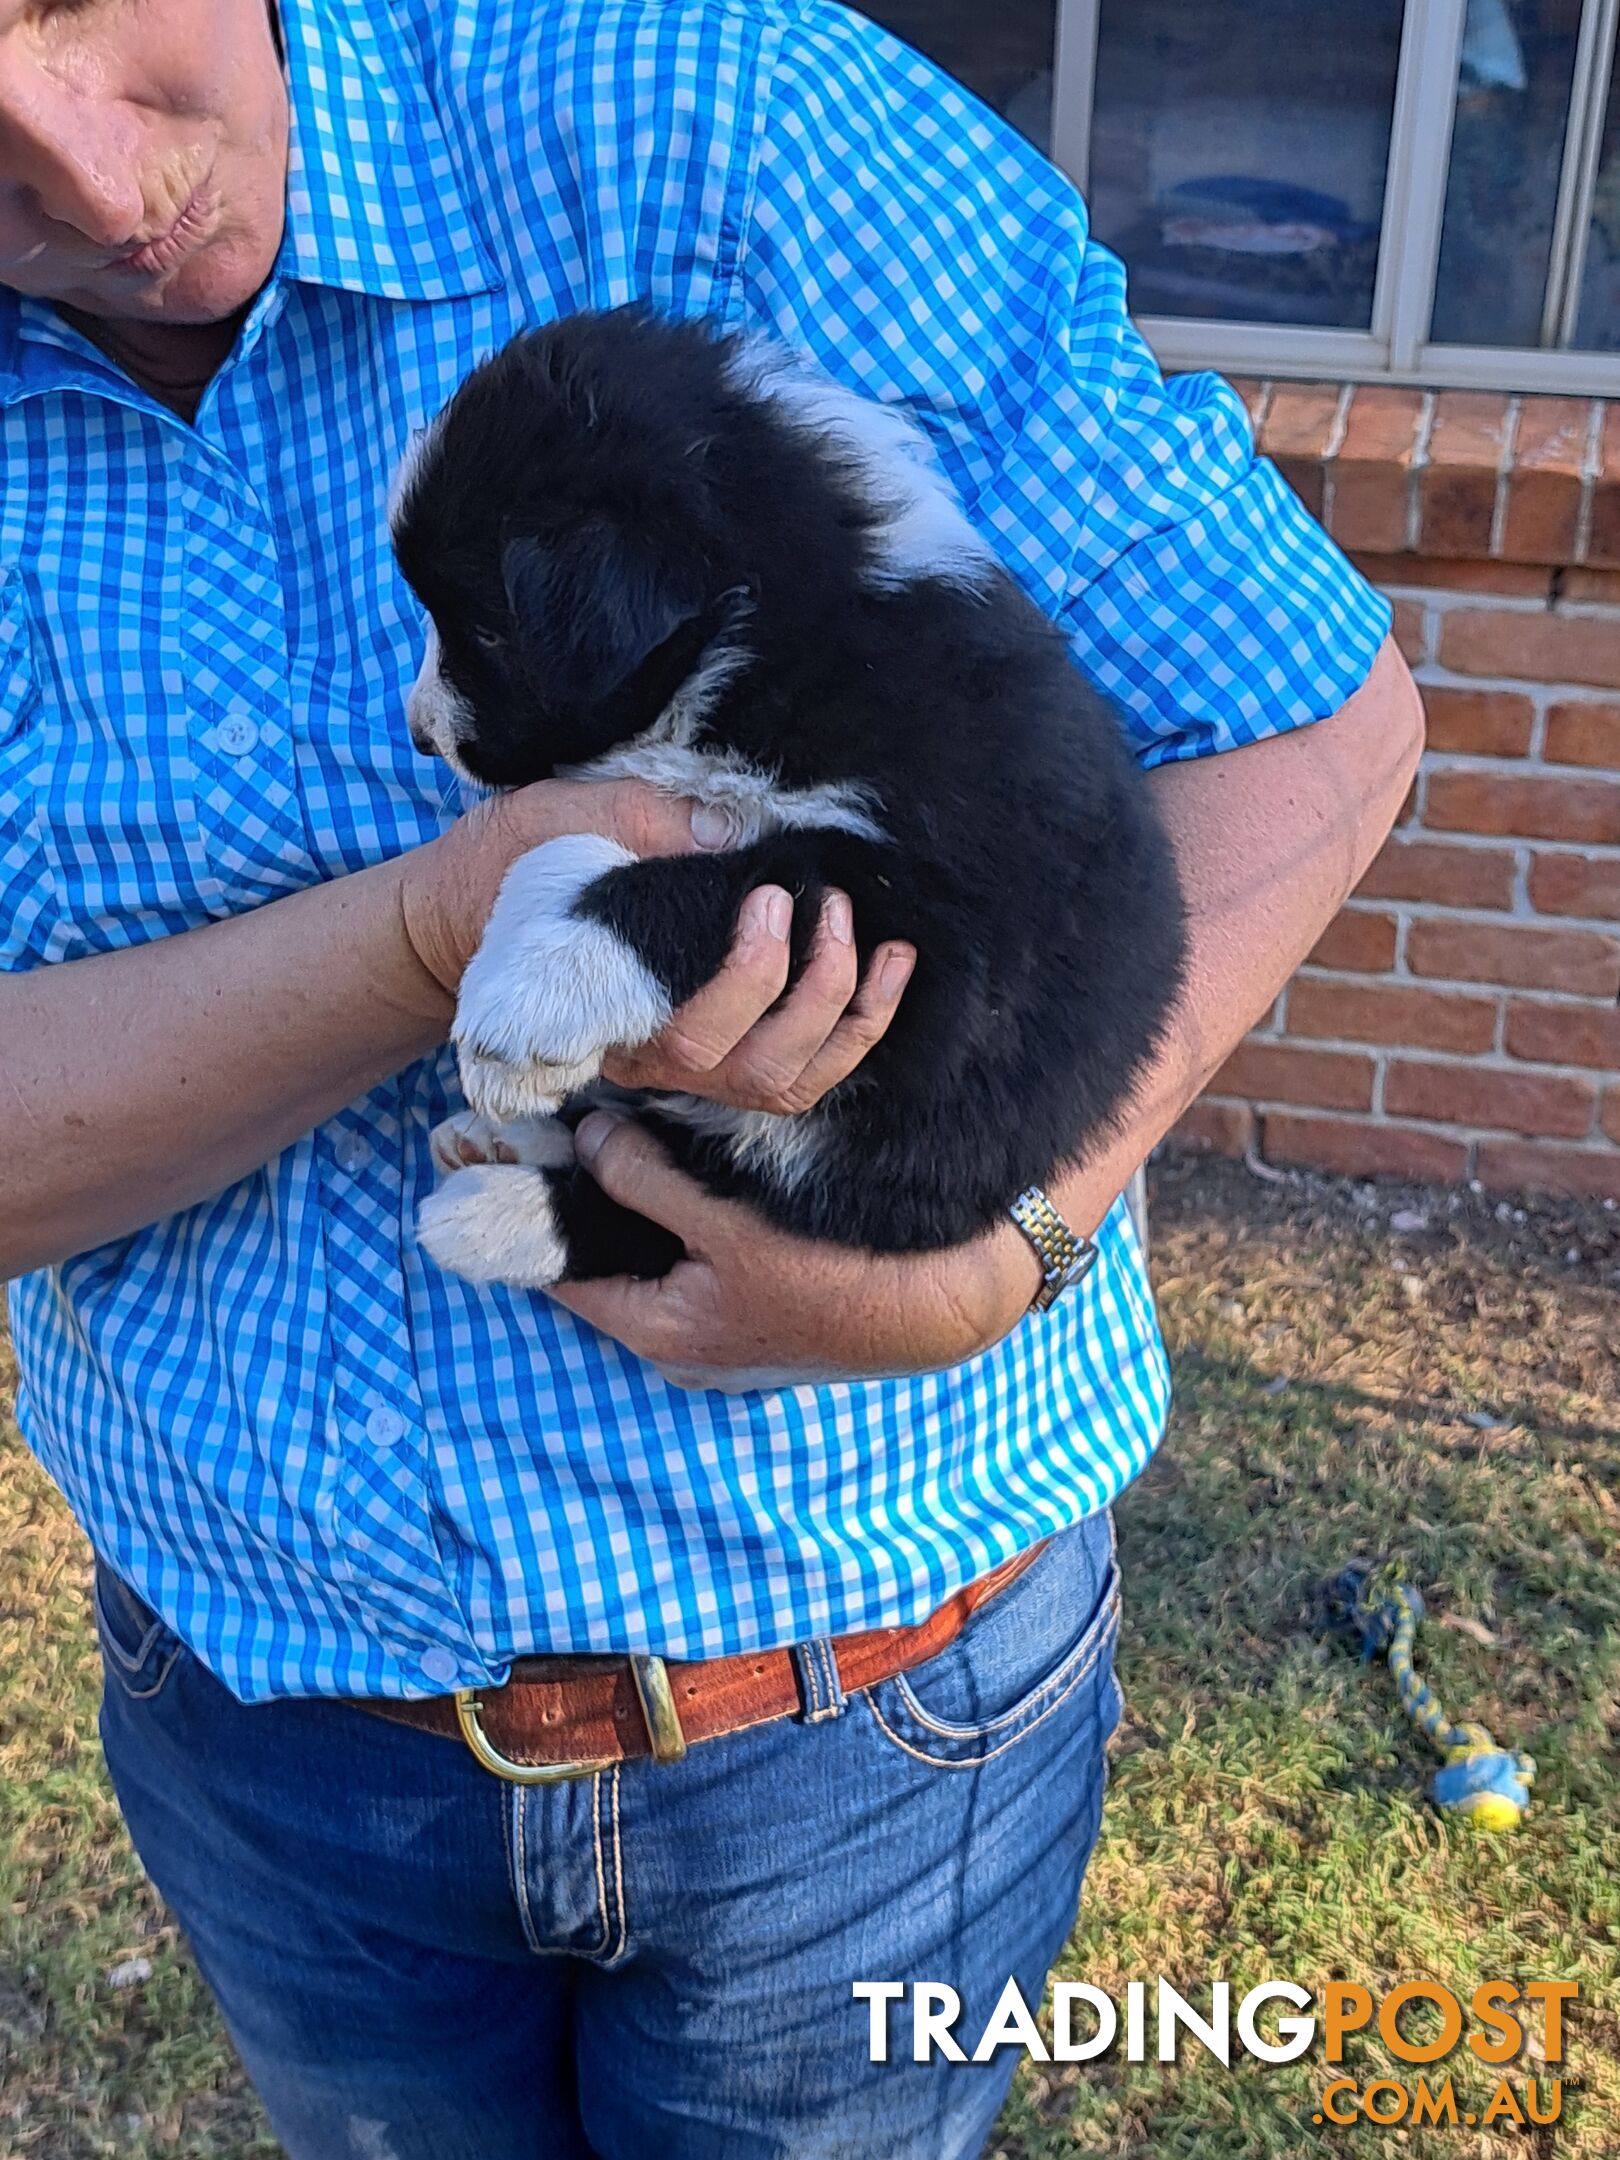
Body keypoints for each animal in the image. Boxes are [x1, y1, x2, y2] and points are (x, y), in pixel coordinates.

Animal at [388, 313, 1183, 1287]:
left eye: (487, 631)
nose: (420, 735)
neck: (764, 657)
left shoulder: (943, 944)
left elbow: (707, 879)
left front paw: (530, 1003)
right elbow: (553, 854)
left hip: (871, 1161)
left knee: (678, 1203)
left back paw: (494, 1213)